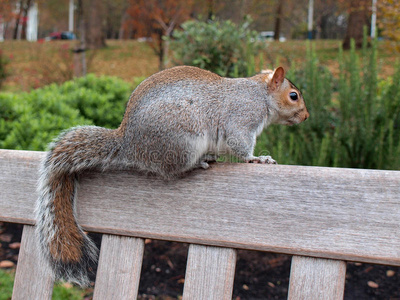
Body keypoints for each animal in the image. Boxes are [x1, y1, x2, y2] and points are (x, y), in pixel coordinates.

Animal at [35, 65, 310, 286]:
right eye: (293, 96)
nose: (306, 117)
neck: (260, 94)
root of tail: (128, 143)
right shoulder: (241, 118)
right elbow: (240, 145)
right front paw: (258, 159)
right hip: (182, 141)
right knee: (172, 170)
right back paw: (198, 163)